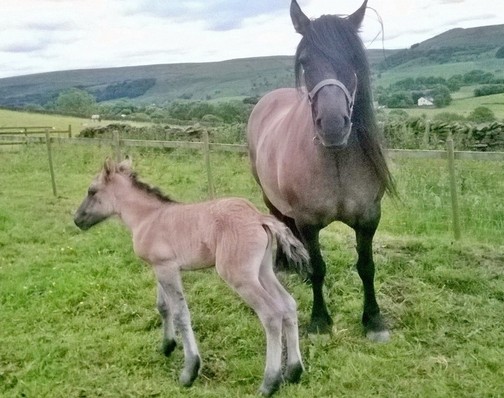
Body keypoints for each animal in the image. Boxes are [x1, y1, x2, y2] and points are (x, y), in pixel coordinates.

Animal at [73, 158, 310, 394]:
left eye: (92, 191)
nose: (77, 220)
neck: (148, 218)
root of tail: (259, 217)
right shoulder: (161, 266)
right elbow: (163, 306)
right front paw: (167, 346)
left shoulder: (167, 268)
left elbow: (180, 314)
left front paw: (190, 370)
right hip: (263, 270)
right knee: (288, 304)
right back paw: (293, 371)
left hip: (240, 277)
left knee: (271, 314)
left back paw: (269, 383)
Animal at [246, 0, 396, 342]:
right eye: (304, 61)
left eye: (353, 57)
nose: (332, 125)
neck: (335, 161)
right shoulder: (308, 222)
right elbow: (319, 267)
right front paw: (319, 321)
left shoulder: (369, 218)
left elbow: (366, 266)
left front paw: (374, 320)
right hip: (269, 196)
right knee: (279, 222)